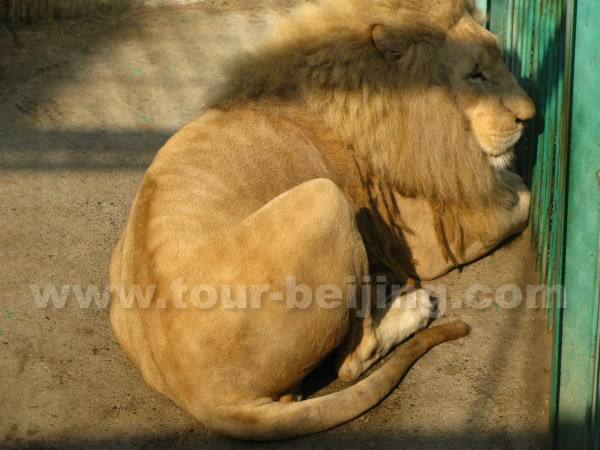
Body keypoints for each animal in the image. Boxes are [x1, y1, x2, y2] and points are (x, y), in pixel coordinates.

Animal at [109, 0, 536, 442]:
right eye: (475, 74)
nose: (530, 116)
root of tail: (202, 397)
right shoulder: (427, 241)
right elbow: (521, 200)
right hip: (327, 199)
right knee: (352, 359)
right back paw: (416, 305)